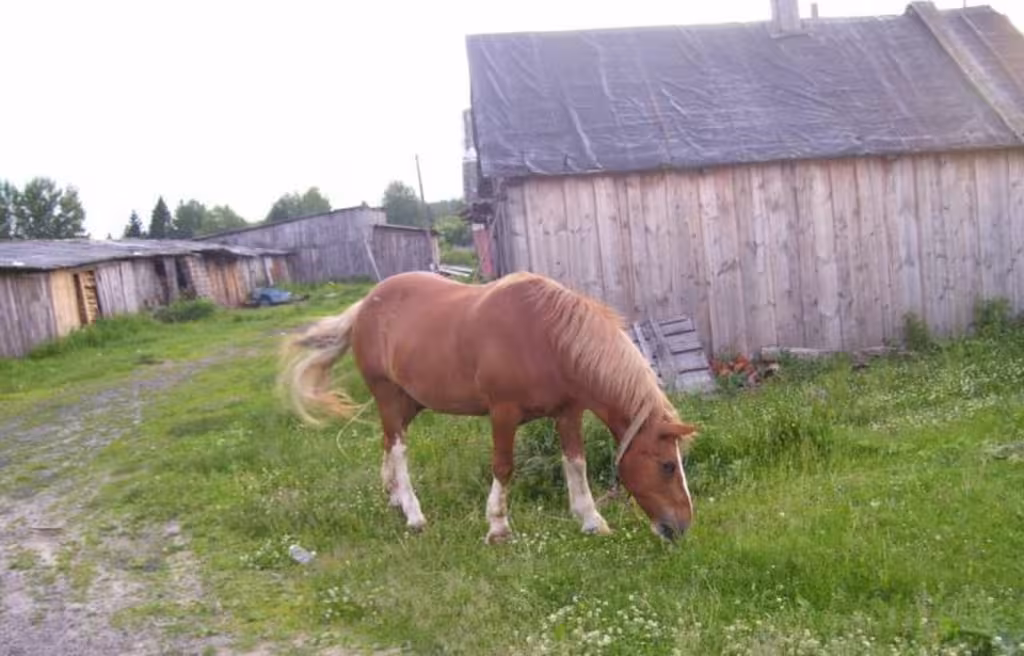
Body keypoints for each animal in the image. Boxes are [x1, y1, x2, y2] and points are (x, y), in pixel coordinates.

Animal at [278, 270, 698, 544]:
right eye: (667, 465)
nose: (681, 527)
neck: (547, 337)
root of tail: (365, 304)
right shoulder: (503, 413)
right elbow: (503, 466)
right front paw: (497, 527)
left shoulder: (568, 412)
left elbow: (575, 464)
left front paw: (591, 520)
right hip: (387, 395)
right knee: (398, 449)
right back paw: (413, 514)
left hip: (410, 401)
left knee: (387, 443)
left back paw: (394, 498)